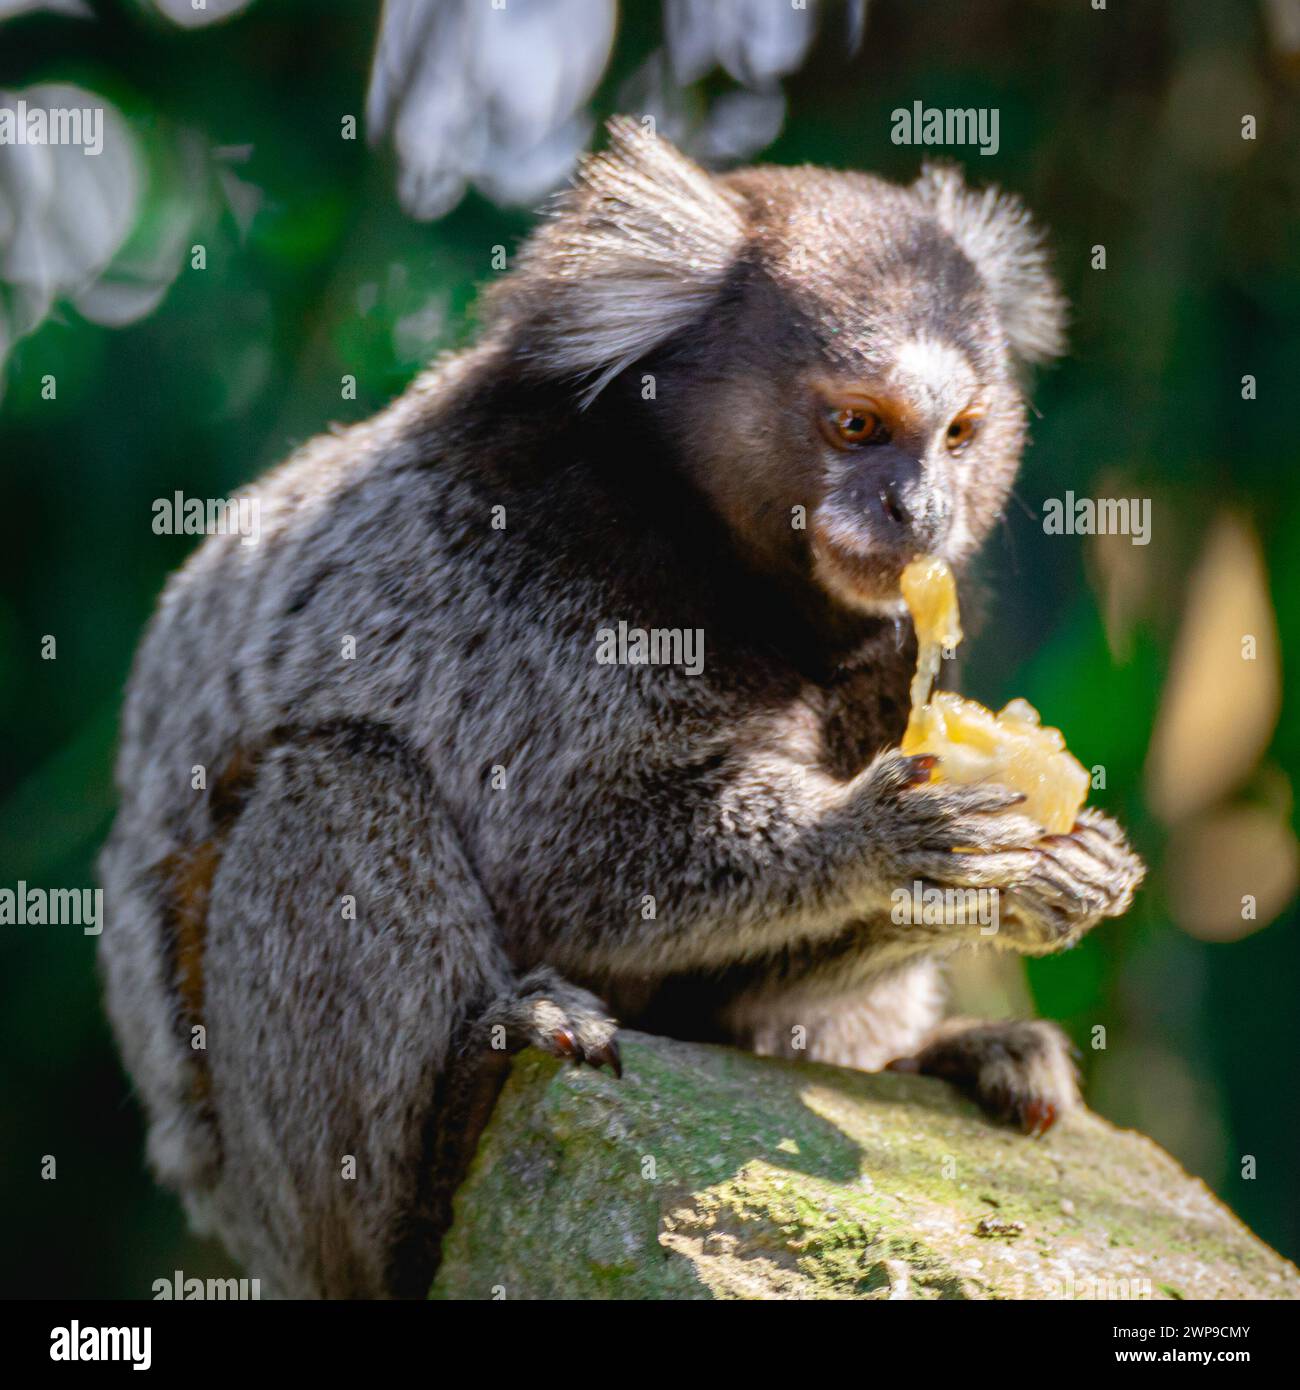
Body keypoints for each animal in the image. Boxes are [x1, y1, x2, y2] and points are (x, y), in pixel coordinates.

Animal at [99, 122, 1140, 1301]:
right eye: (857, 423)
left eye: (960, 432)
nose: (919, 511)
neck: (728, 561)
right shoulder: (518, 569)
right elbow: (568, 863)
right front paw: (873, 835)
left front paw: (1054, 876)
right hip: (269, 1187)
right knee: (339, 778)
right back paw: (455, 1128)